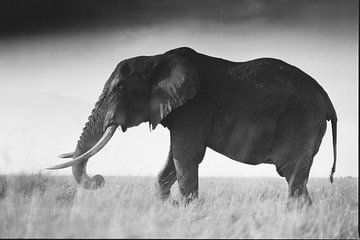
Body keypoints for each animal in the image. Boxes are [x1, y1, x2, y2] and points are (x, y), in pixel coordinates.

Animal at [48, 46, 338, 206]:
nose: (99, 179)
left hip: (301, 121)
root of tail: (327, 98)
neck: (156, 59)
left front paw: (188, 210)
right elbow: (172, 160)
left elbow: (185, 157)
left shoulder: (194, 107)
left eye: (119, 89)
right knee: (296, 178)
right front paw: (170, 208)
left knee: (292, 174)